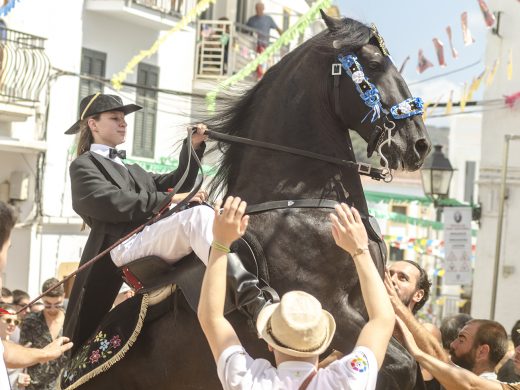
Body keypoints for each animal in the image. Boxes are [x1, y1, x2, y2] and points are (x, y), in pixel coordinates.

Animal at [69, 10, 430, 388]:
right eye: (373, 64)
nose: (419, 144)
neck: (299, 203)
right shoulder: (332, 309)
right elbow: (403, 365)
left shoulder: (369, 303)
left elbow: (407, 364)